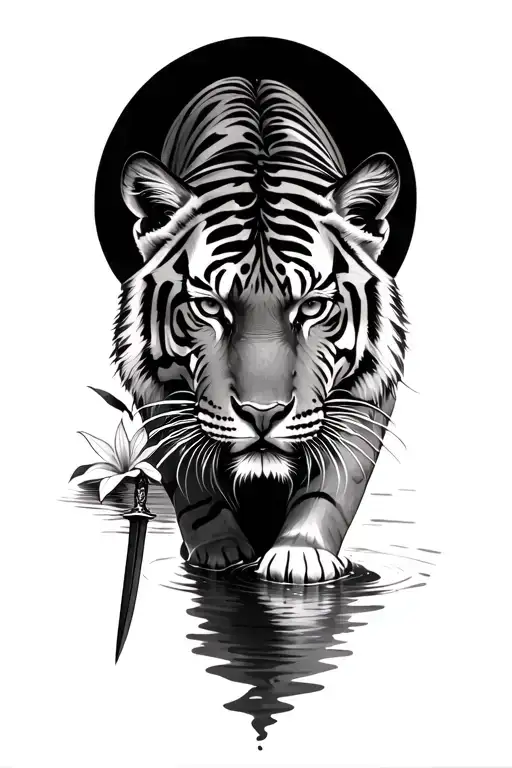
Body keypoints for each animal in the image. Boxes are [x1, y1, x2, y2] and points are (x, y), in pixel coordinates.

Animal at [113, 76, 407, 584]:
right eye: (210, 306)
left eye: (312, 306)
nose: (263, 414)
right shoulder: (159, 386)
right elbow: (190, 482)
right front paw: (220, 549)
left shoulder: (367, 391)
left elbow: (336, 482)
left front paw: (300, 554)